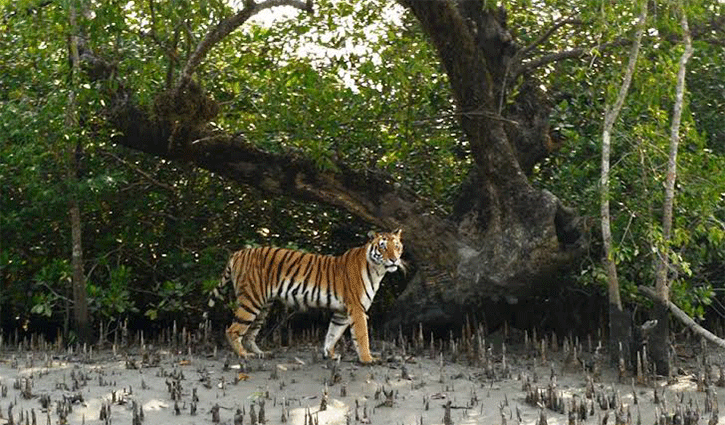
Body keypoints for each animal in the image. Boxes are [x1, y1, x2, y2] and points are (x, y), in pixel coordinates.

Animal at [206, 230, 404, 362]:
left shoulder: (341, 312)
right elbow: (362, 336)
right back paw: (243, 355)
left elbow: (333, 333)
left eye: (397, 246)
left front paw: (329, 354)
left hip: (263, 306)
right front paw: (368, 359)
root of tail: (238, 252)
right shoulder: (357, 309)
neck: (378, 270)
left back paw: (260, 353)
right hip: (251, 300)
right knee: (232, 330)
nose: (394, 259)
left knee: (249, 334)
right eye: (383, 247)